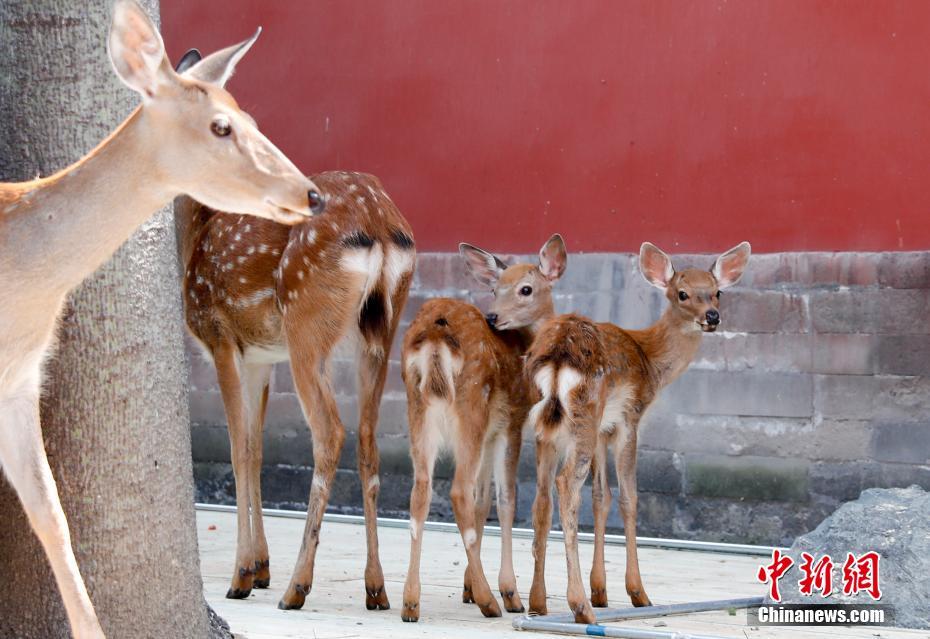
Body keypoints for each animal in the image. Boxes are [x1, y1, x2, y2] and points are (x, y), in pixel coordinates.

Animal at [182, 172, 414, 612]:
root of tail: (376, 221)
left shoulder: (220, 336)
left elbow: (237, 451)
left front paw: (242, 576)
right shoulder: (260, 357)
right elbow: (256, 450)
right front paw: (261, 568)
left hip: (305, 320)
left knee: (330, 433)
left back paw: (297, 586)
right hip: (380, 333)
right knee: (368, 441)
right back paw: (375, 588)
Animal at [398, 234, 564, 620]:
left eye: (525, 289)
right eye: (494, 288)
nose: (494, 316)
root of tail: (434, 333)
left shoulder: (490, 432)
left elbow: (482, 501)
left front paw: (468, 589)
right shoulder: (511, 423)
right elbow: (504, 500)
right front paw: (507, 591)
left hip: (420, 411)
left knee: (421, 490)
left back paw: (410, 601)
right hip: (470, 406)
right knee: (458, 491)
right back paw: (493, 601)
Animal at [524, 241, 752, 624]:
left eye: (717, 291)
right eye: (682, 293)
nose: (712, 316)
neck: (650, 362)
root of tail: (557, 354)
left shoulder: (604, 430)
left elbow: (602, 497)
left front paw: (601, 590)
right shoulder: (628, 419)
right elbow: (629, 497)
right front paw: (637, 593)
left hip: (547, 426)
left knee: (541, 495)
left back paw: (537, 602)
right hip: (583, 416)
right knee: (565, 484)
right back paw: (580, 606)